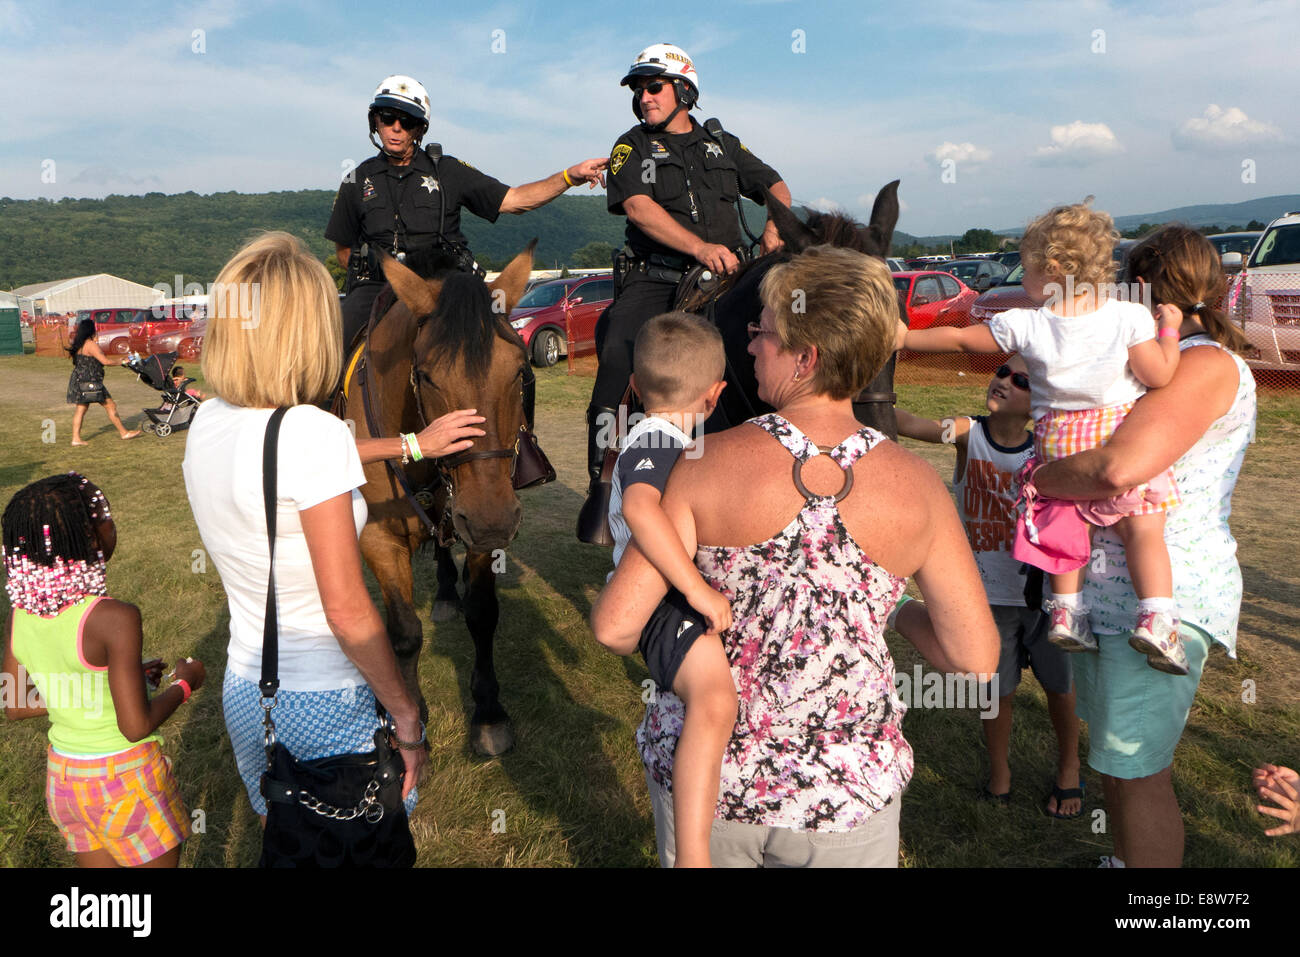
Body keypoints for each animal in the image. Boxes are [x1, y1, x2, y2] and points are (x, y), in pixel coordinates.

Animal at [343, 244, 535, 754]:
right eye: (426, 377)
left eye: (519, 372)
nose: (491, 519)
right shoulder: (378, 538)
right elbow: (404, 634)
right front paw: (410, 722)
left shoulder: (480, 531)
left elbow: (483, 614)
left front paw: (488, 713)